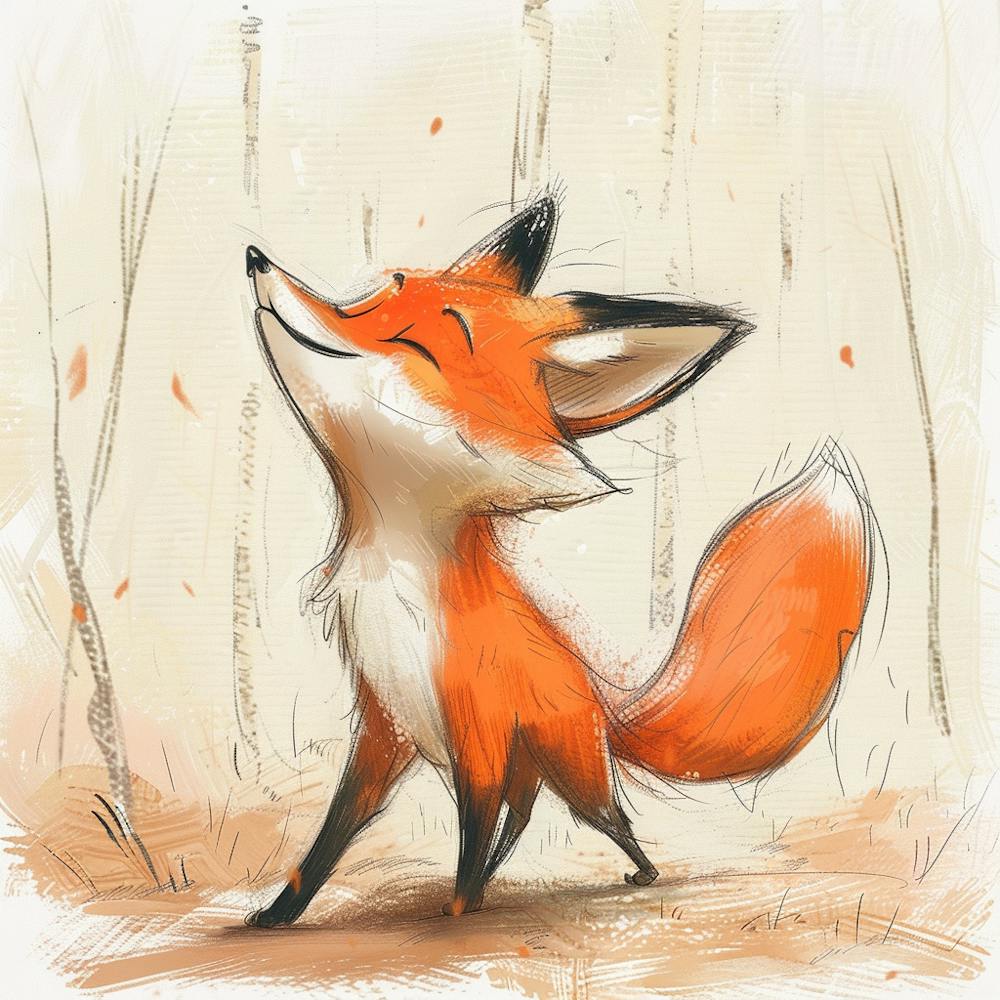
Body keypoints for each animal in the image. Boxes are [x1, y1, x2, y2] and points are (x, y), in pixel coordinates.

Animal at [244, 194, 873, 927]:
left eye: (414, 343)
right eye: (379, 293)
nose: (257, 261)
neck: (397, 571)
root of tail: (600, 696)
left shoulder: (479, 737)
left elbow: (466, 844)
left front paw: (455, 916)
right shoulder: (384, 725)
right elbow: (332, 838)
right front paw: (276, 916)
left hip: (572, 772)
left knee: (606, 819)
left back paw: (638, 874)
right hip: (537, 770)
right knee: (525, 821)